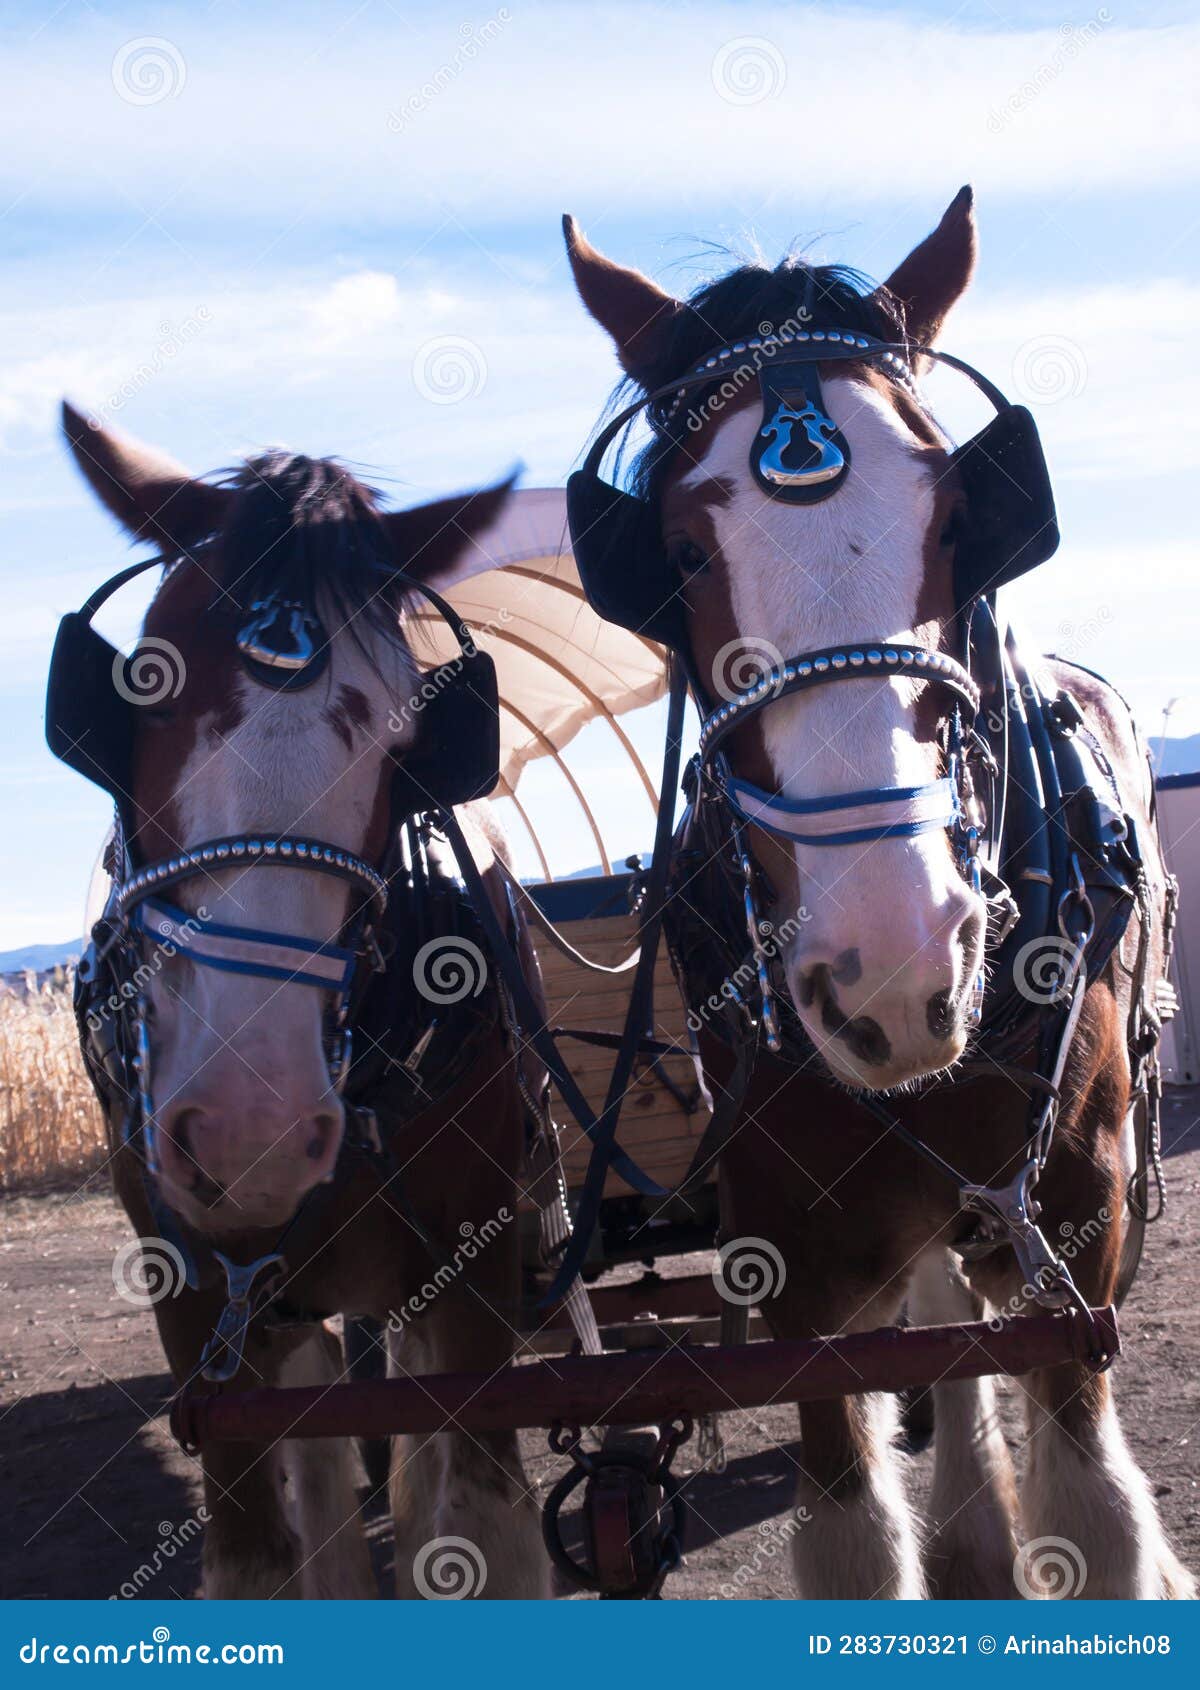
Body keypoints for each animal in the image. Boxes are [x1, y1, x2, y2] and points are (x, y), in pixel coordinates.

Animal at [51, 408, 554, 1599]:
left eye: (412, 732)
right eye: (136, 688)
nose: (254, 1128)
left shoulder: (474, 1272)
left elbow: (476, 1523)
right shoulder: (196, 1296)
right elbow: (257, 1552)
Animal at [561, 189, 1194, 1600]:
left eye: (961, 514)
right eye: (675, 553)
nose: (897, 967)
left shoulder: (1081, 1228)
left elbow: (1098, 1515)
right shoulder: (793, 1262)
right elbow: (854, 1524)